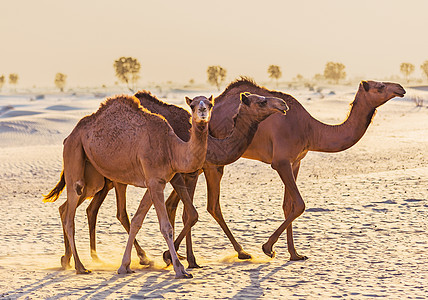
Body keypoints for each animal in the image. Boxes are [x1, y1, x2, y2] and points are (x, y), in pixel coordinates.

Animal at [44, 93, 214, 276]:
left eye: (210, 104)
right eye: (192, 105)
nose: (202, 111)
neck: (171, 148)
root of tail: (69, 137)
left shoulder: (156, 182)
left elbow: (136, 221)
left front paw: (126, 265)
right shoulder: (154, 181)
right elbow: (165, 227)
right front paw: (179, 268)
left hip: (92, 177)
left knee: (65, 208)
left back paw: (67, 260)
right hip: (74, 155)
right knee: (70, 217)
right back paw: (80, 266)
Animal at [82, 91, 290, 268]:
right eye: (262, 101)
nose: (283, 104)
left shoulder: (186, 173)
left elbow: (180, 210)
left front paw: (182, 256)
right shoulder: (187, 174)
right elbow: (190, 214)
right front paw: (181, 257)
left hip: (107, 178)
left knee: (93, 208)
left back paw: (96, 257)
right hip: (116, 176)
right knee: (119, 212)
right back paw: (140, 257)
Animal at [163, 78, 404, 264]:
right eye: (380, 86)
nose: (400, 88)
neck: (311, 129)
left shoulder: (296, 161)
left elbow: (288, 206)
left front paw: (295, 254)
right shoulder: (281, 161)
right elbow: (299, 204)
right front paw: (268, 248)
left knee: (175, 203)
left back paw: (182, 256)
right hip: (209, 165)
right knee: (207, 206)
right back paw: (206, 257)